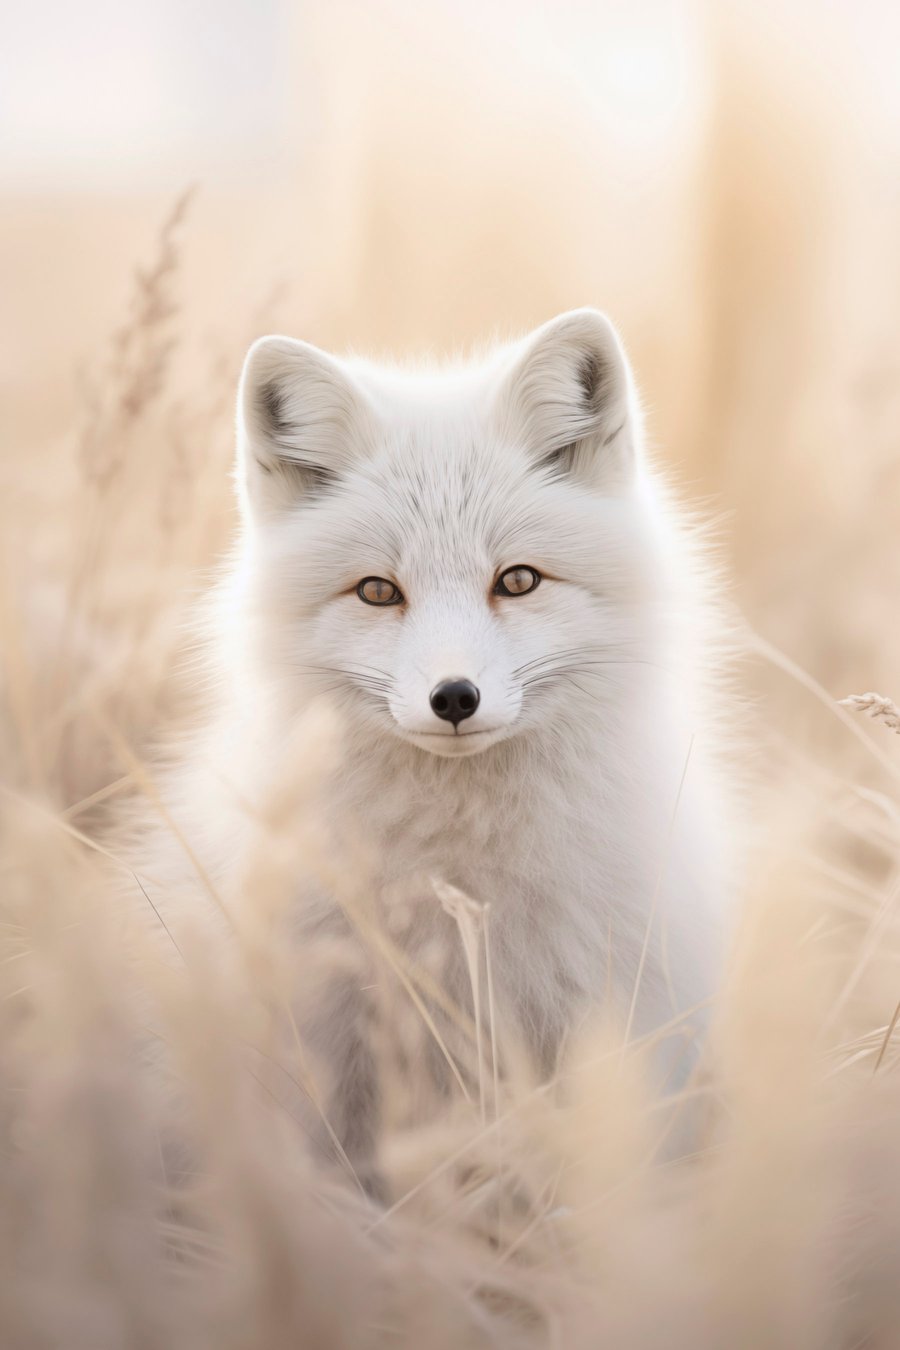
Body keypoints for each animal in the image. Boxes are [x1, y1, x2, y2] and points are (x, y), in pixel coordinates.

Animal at [139, 308, 736, 1180]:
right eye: (378, 591)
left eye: (517, 581)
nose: (454, 698)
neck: (461, 885)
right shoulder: (324, 1040)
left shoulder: (615, 1017)